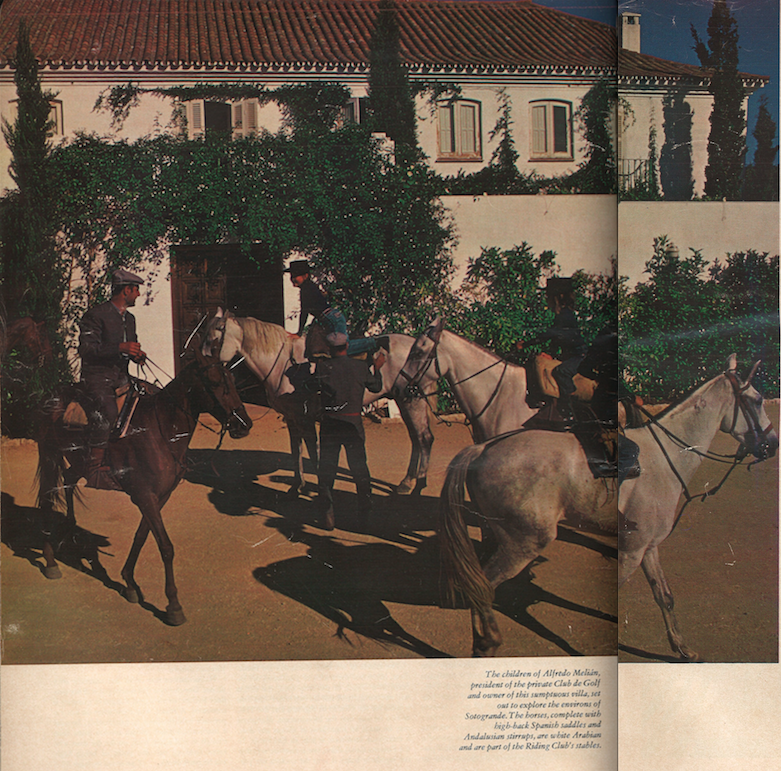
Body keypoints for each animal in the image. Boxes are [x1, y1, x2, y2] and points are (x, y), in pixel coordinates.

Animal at [36, 346, 251, 624]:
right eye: (214, 382)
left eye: (232, 381)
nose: (244, 424)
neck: (161, 432)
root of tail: (54, 395)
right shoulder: (144, 496)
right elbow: (166, 546)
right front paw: (173, 605)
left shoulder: (159, 496)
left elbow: (141, 536)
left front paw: (129, 583)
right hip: (49, 453)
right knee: (46, 499)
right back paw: (51, 562)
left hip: (77, 461)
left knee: (69, 480)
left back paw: (70, 529)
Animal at [203, 308, 438, 494]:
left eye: (215, 339)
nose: (206, 367)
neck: (283, 364)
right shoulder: (292, 418)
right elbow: (296, 449)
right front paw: (296, 486)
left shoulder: (305, 419)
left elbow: (312, 452)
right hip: (403, 400)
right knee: (416, 439)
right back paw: (407, 482)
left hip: (412, 401)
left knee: (424, 438)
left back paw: (417, 484)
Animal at [438, 356, 772, 656]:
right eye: (756, 401)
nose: (773, 444)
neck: (665, 458)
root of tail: (482, 449)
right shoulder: (631, 552)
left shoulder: (647, 546)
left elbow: (664, 596)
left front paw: (682, 647)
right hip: (522, 543)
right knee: (483, 586)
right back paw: (487, 643)